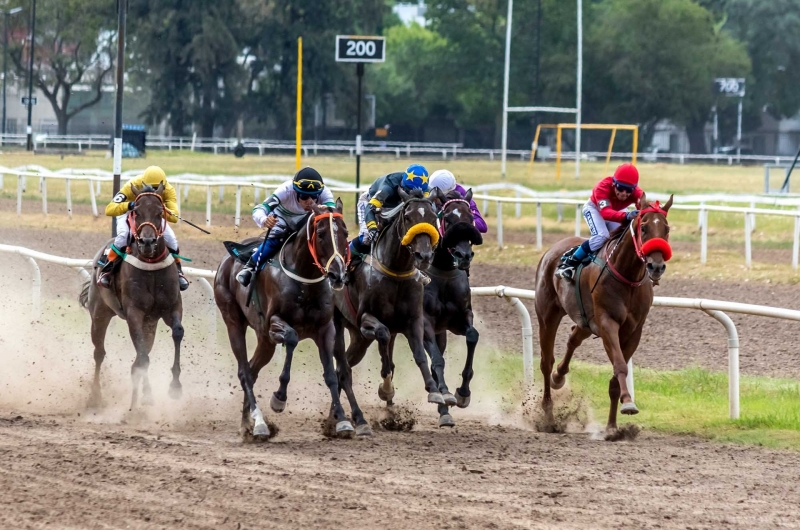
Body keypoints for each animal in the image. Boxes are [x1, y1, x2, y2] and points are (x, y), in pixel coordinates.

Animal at [78, 182, 184, 408]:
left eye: (160, 212)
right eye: (136, 212)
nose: (147, 242)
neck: (151, 267)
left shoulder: (171, 308)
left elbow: (177, 332)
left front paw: (175, 386)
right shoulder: (134, 312)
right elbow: (142, 357)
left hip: (150, 323)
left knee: (142, 352)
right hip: (100, 313)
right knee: (99, 353)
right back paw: (95, 396)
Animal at [214, 198, 352, 438]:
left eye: (345, 232)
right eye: (321, 233)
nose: (337, 275)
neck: (305, 281)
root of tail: (226, 261)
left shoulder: (325, 329)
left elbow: (331, 375)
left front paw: (343, 421)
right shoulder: (273, 323)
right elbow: (292, 339)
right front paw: (279, 398)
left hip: (264, 340)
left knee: (252, 370)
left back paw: (247, 423)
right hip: (233, 320)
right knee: (245, 372)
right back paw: (259, 423)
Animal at [536, 192, 672, 436]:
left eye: (666, 229)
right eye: (644, 227)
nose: (656, 267)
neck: (627, 276)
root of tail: (553, 250)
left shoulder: (633, 331)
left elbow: (616, 378)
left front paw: (612, 427)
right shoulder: (608, 323)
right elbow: (619, 365)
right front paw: (628, 402)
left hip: (586, 322)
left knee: (573, 338)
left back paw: (559, 377)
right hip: (547, 315)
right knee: (546, 362)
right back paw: (549, 417)